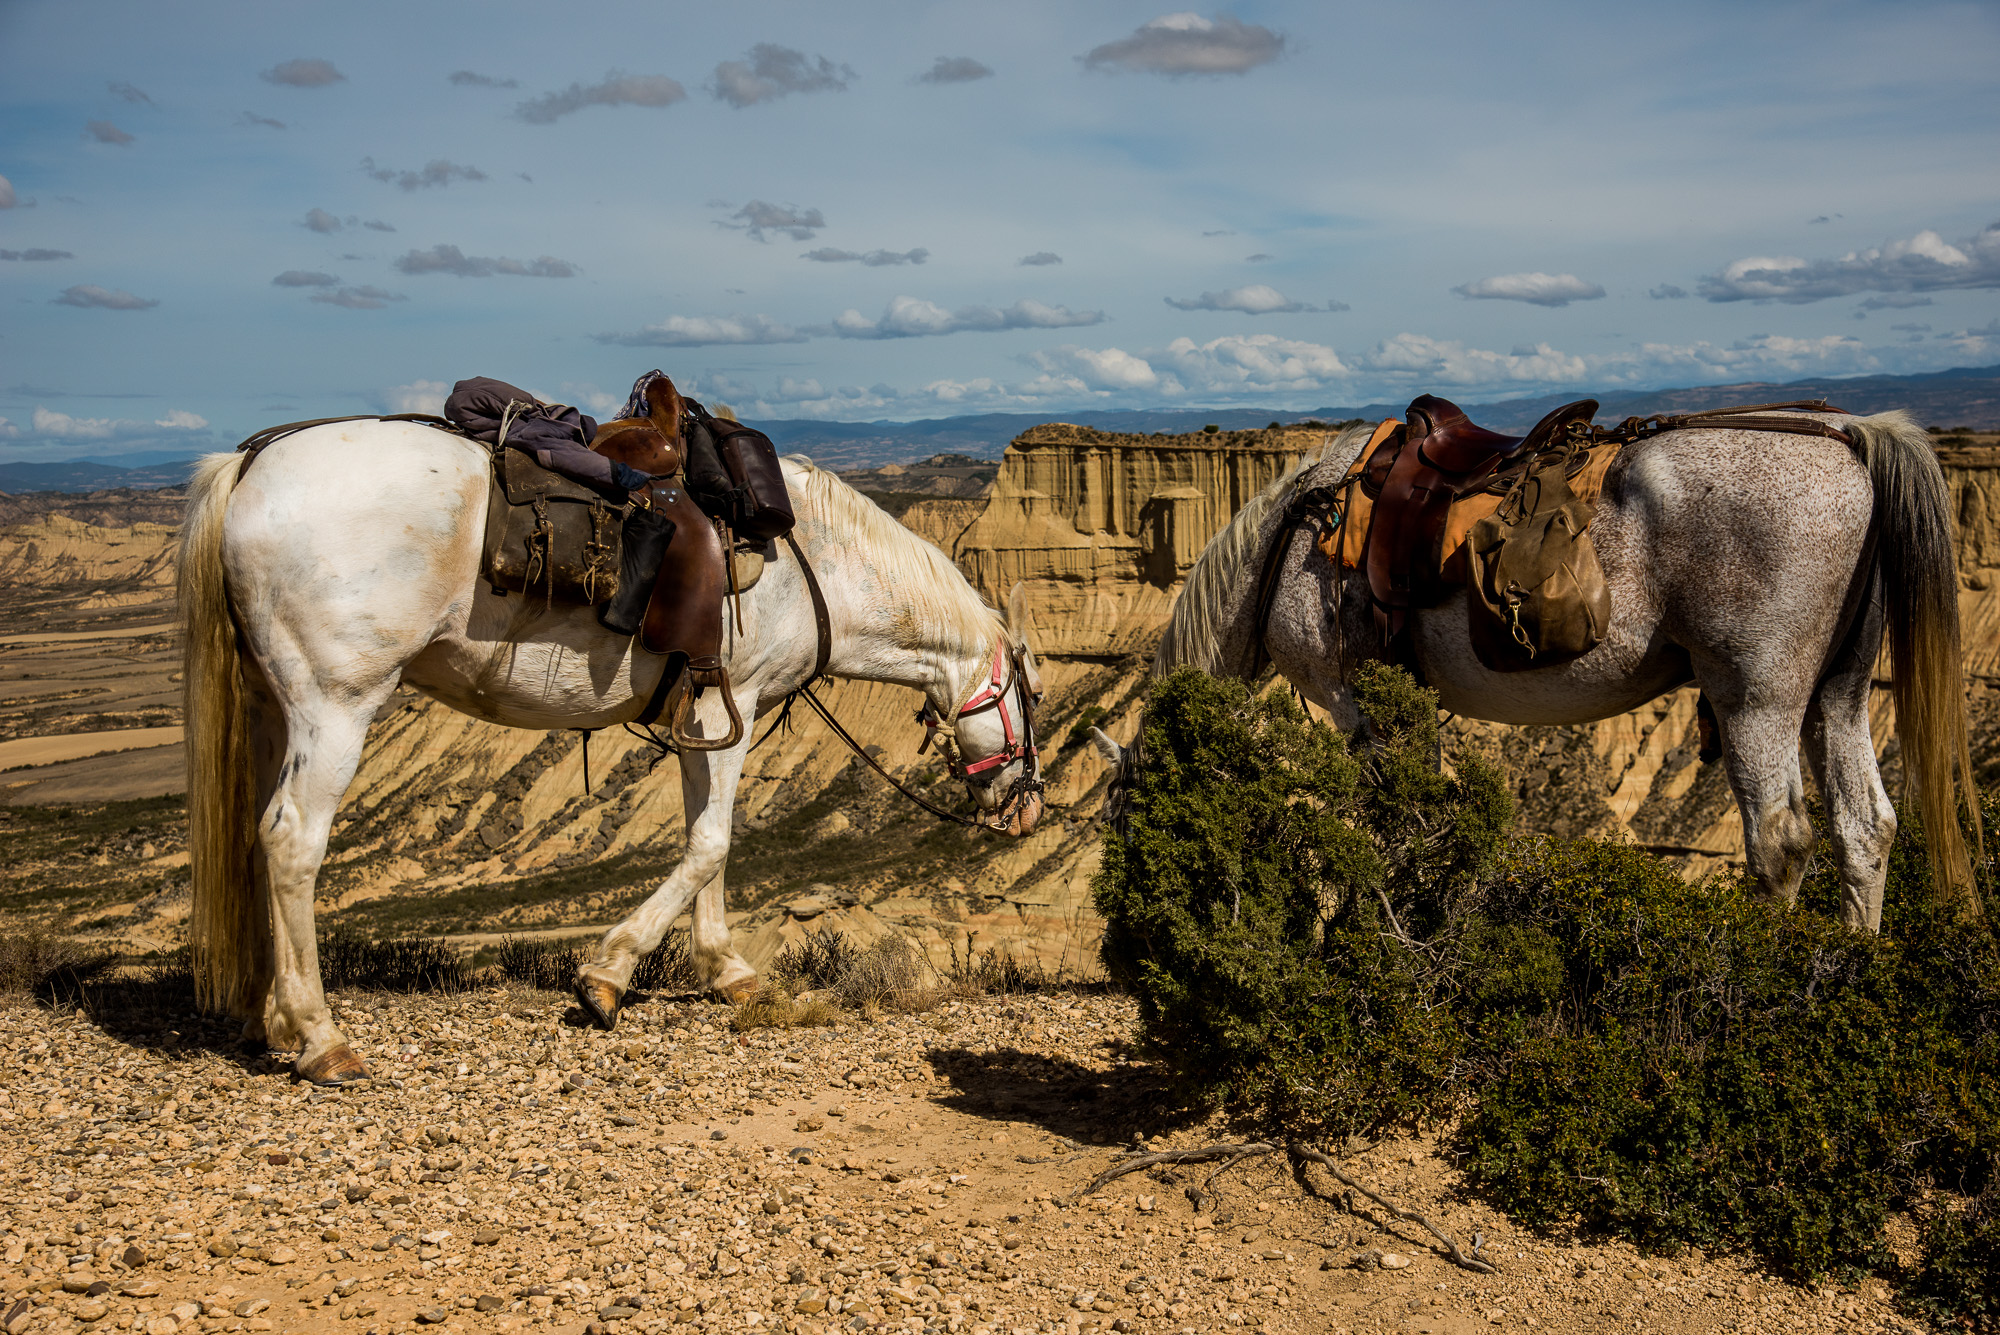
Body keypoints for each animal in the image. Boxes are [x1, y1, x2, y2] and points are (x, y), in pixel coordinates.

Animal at [180, 421, 1048, 1087]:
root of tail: (251, 464)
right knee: (293, 840)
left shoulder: (701, 720)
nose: (1030, 808)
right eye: (1036, 698)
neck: (815, 565)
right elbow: (711, 843)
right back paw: (321, 1038)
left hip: (273, 707)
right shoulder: (730, 703)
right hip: (336, 704)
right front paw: (607, 976)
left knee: (259, 837)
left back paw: (274, 1020)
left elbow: (709, 845)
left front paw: (725, 971)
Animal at [1096, 409, 1984, 927]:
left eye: (1122, 820)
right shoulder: (1403, 707)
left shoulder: (1348, 700)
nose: (1123, 929)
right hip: (1837, 692)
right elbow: (1423, 814)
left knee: (1781, 841)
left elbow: (1391, 820)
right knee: (1863, 828)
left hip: (1755, 697)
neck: (1293, 536)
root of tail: (1847, 437)